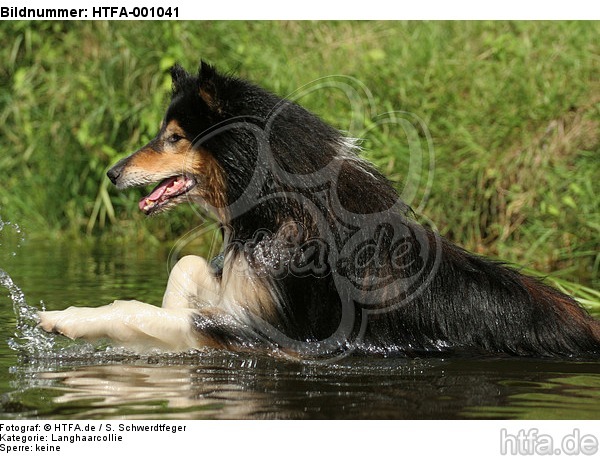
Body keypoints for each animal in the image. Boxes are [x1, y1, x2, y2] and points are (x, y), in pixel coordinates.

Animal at [37, 61, 600, 360]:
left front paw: (66, 318)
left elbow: (141, 312)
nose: (112, 174)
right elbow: (188, 269)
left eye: (173, 137)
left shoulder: (265, 335)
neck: (277, 200)